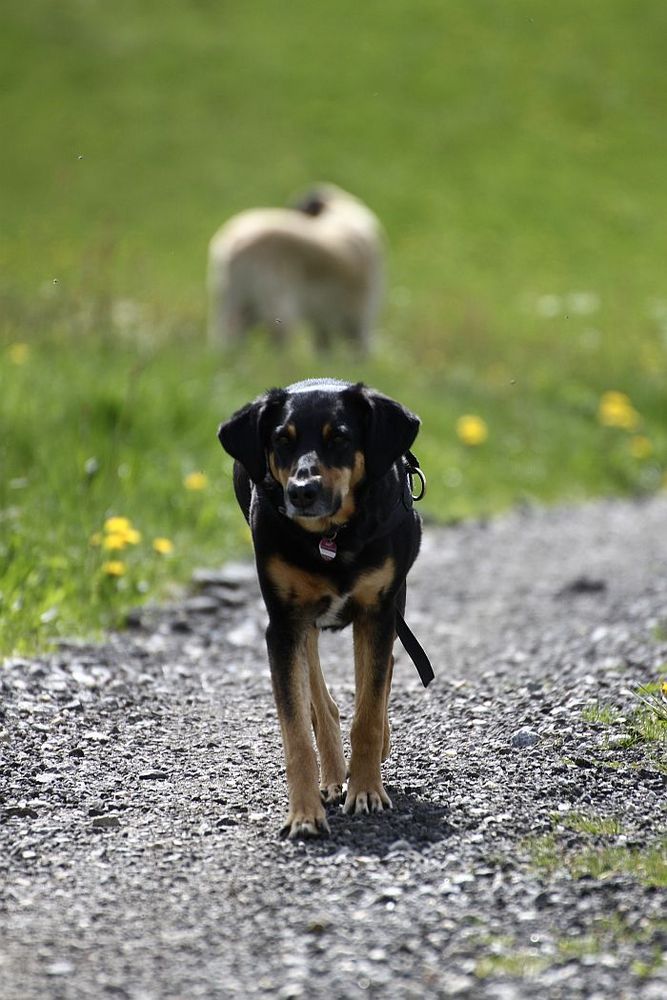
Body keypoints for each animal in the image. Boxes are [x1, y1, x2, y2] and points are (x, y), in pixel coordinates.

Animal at [209, 186, 386, 354]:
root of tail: (235, 246)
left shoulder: (327, 319)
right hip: (277, 305)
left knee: (229, 342)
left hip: (234, 304)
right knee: (277, 347)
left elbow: (324, 350)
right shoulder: (360, 315)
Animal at [217, 376, 430, 836]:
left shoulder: (378, 612)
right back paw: (331, 776)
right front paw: (303, 813)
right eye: (281, 440)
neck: (331, 538)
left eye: (341, 438)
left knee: (380, 678)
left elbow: (368, 709)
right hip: (302, 622)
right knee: (320, 699)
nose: (302, 491)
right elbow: (297, 729)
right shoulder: (282, 625)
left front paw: (367, 791)